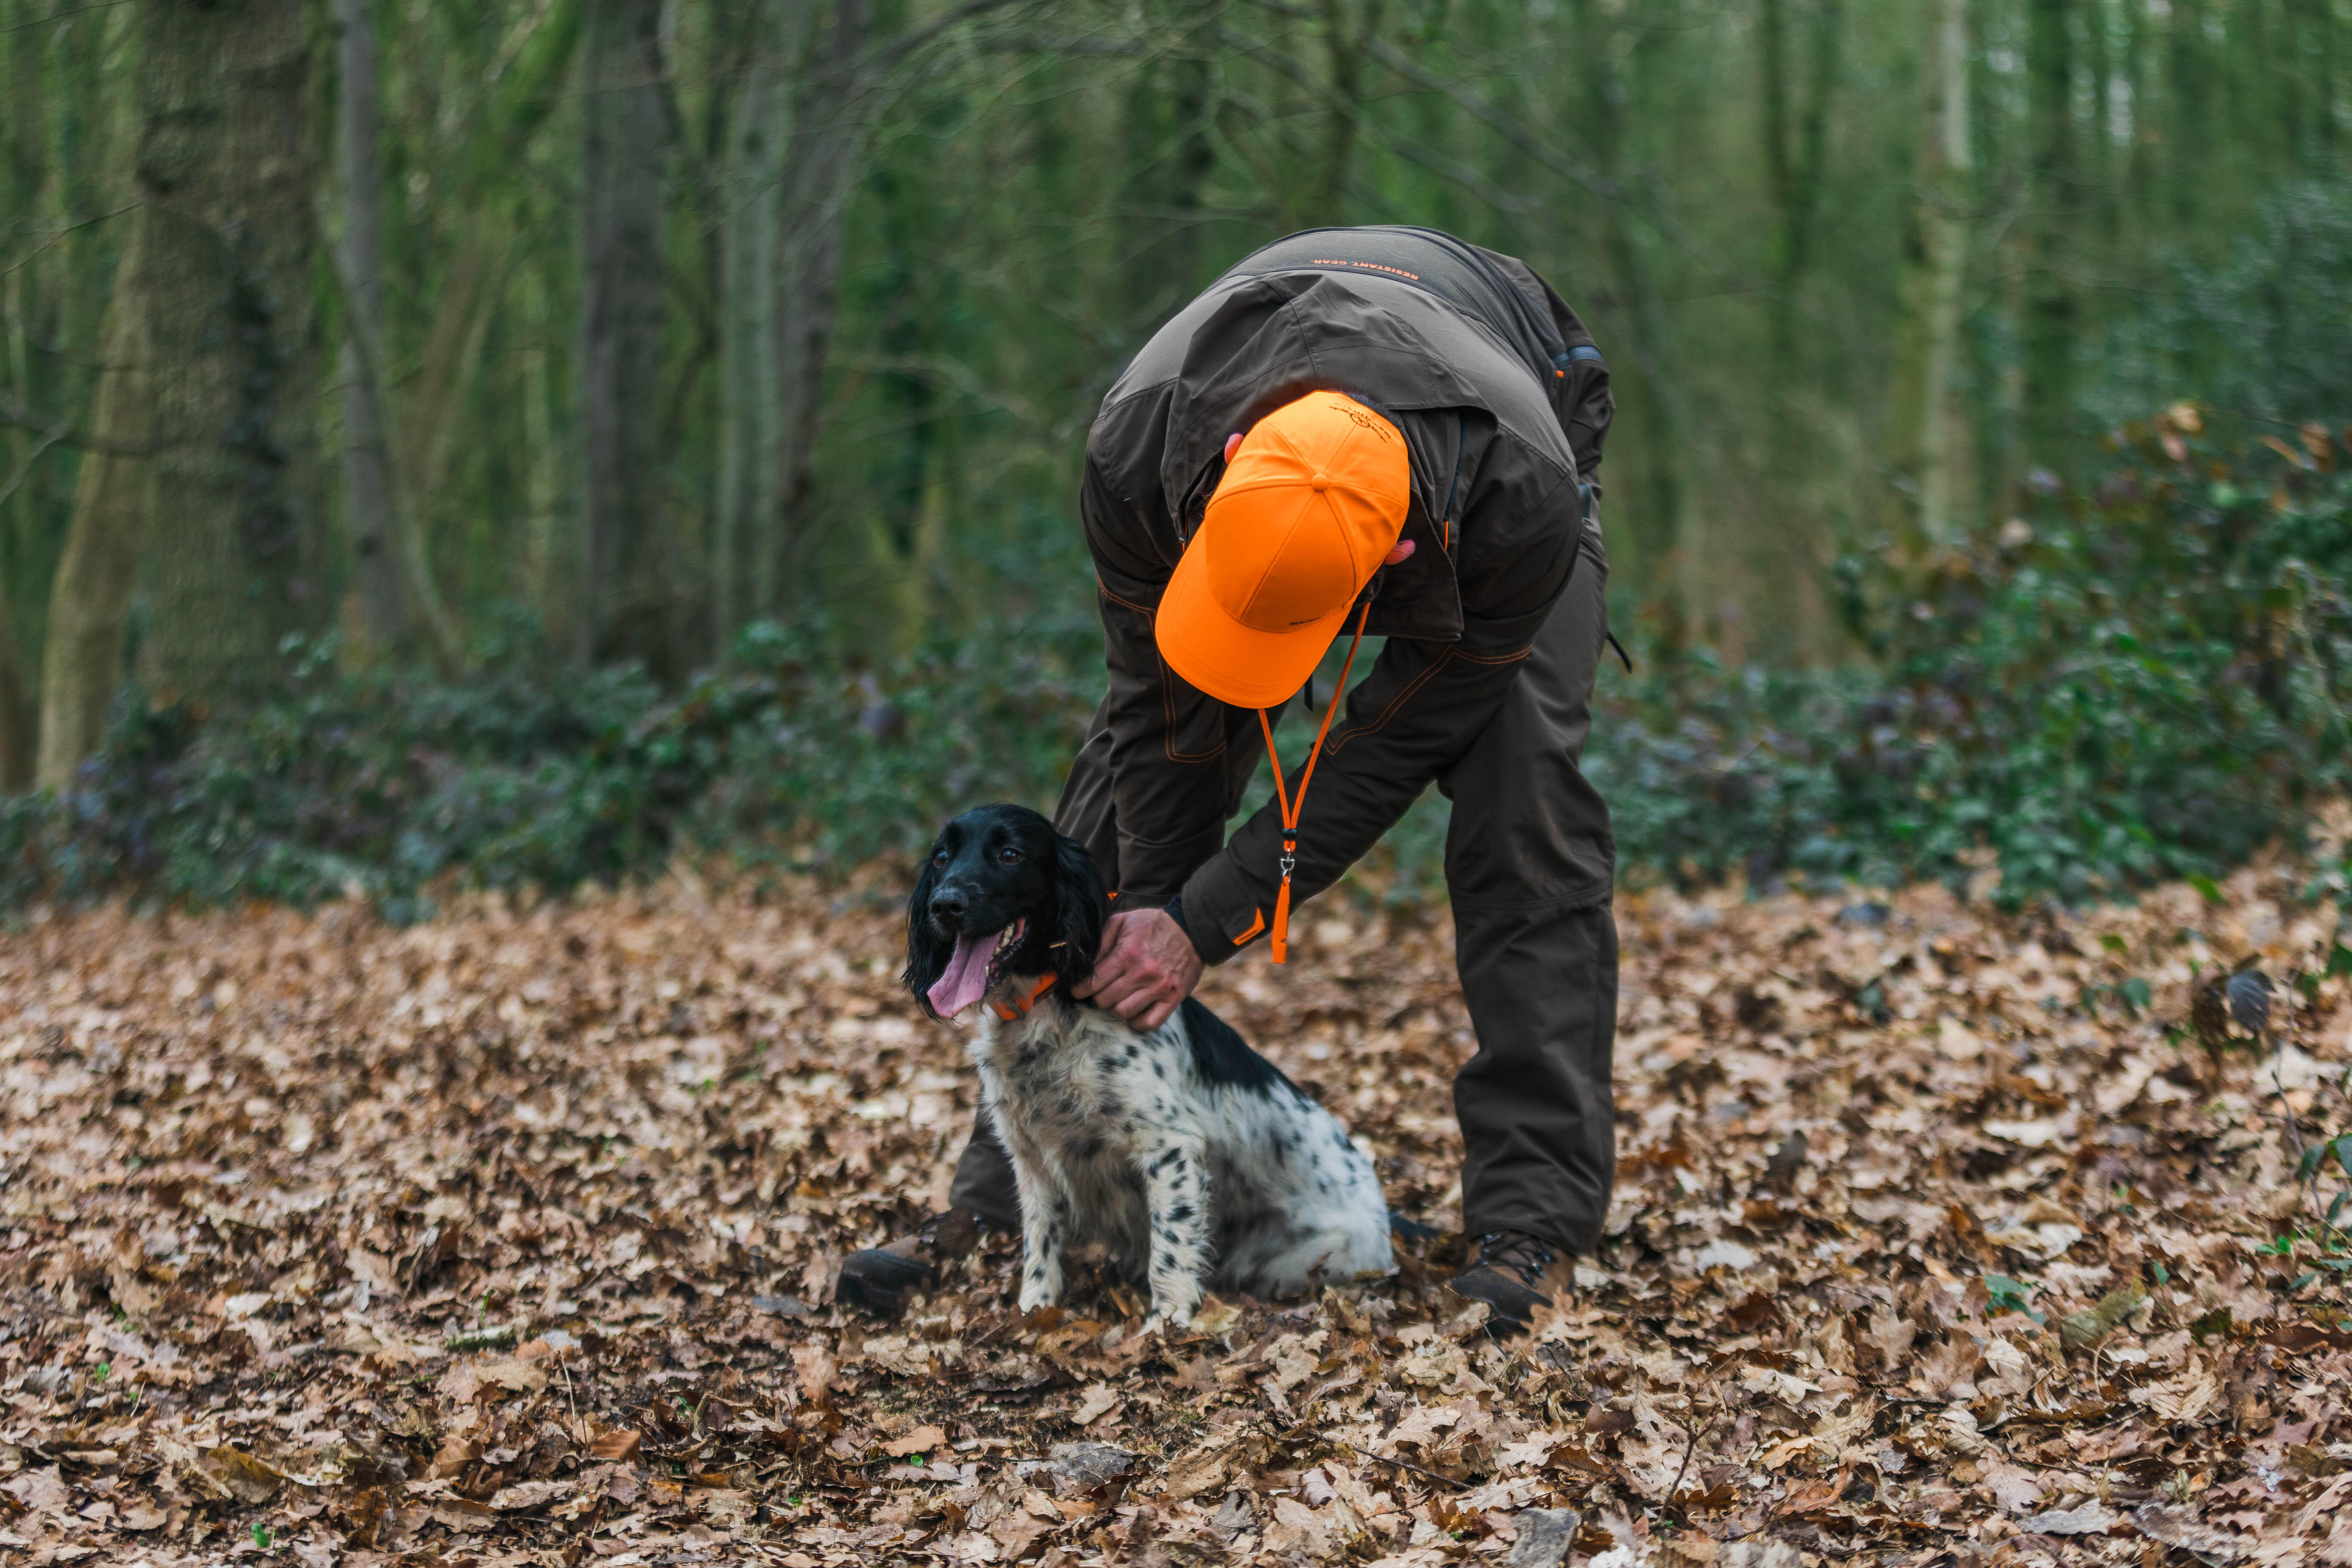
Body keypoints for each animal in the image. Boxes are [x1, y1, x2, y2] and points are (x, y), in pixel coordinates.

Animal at [908, 804, 1392, 1335]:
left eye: (1010, 854)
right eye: (942, 857)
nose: (944, 906)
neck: (1043, 1012)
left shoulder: (1170, 1148)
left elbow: (1172, 1249)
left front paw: (1166, 1326)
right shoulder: (1032, 1158)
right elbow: (1041, 1241)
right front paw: (1034, 1309)